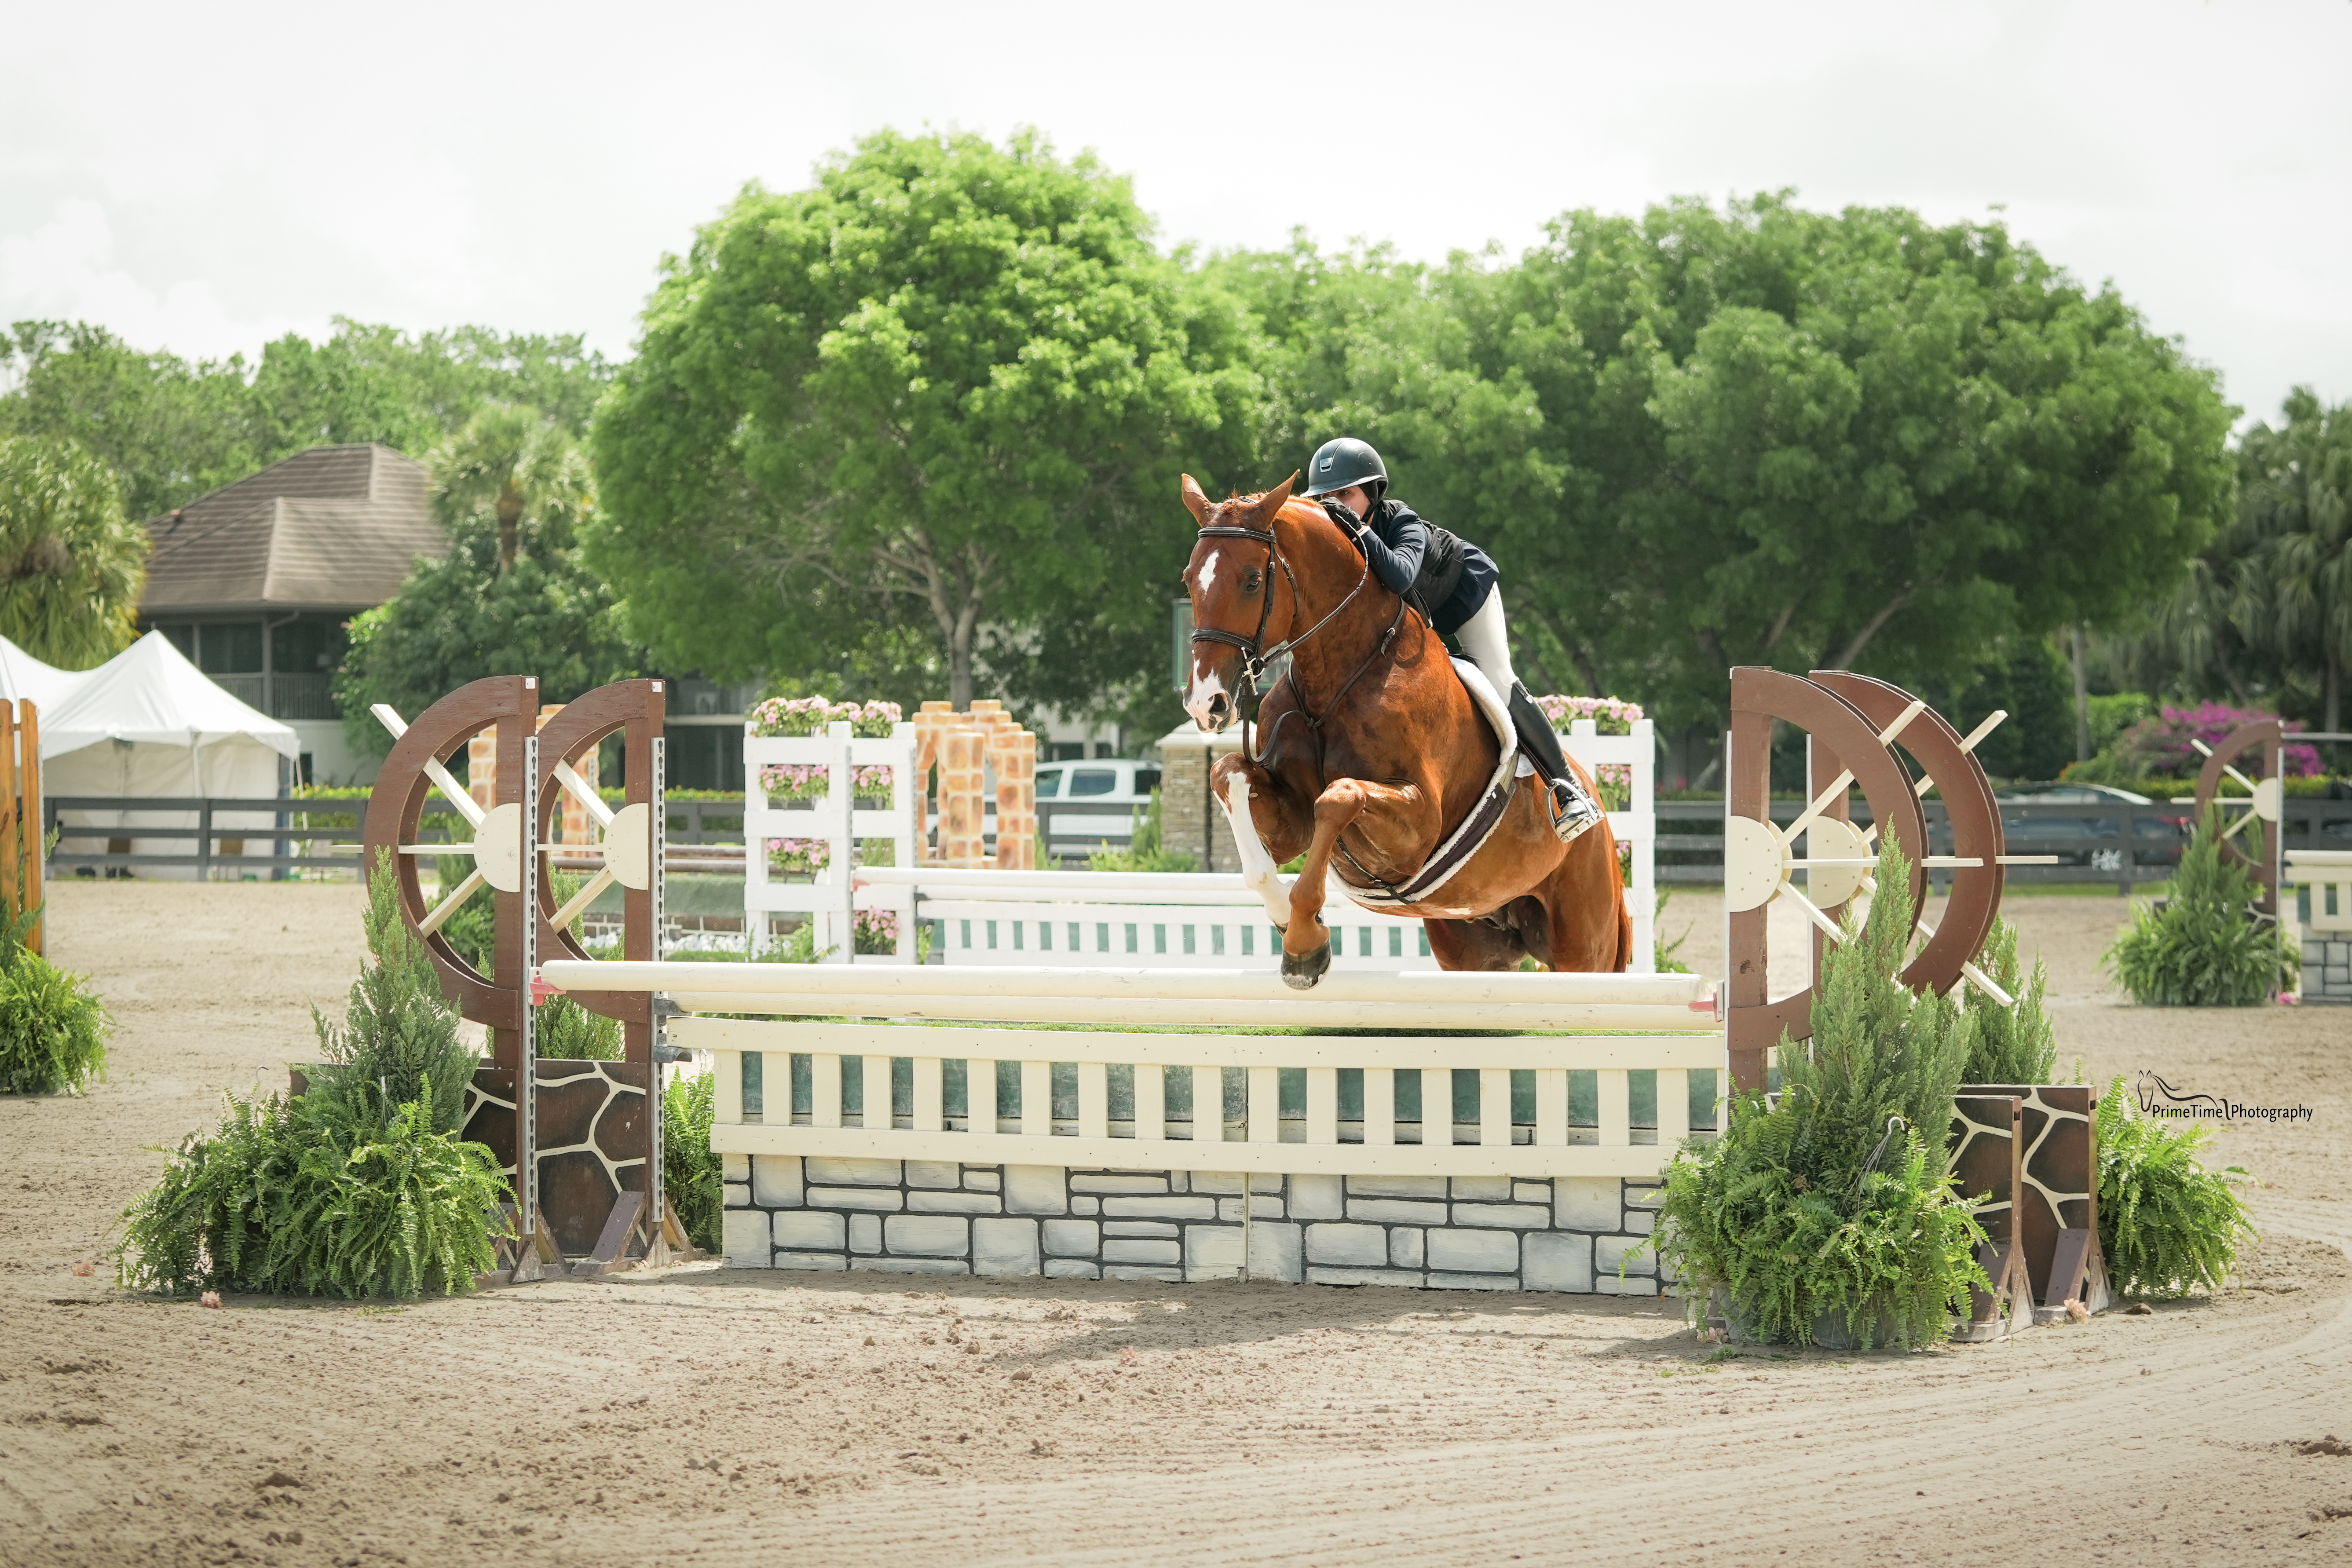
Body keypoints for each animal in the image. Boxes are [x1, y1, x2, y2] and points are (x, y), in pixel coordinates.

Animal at [1178, 471, 1630, 987]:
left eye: (1253, 581)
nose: (1206, 703)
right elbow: (1229, 774)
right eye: (1189, 580)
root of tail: (1602, 812)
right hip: (1475, 945)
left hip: (1585, 944)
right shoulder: (1292, 819)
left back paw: (1572, 805)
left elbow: (1339, 796)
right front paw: (1286, 920)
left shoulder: (1417, 829)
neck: (1333, 681)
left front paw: (1304, 945)